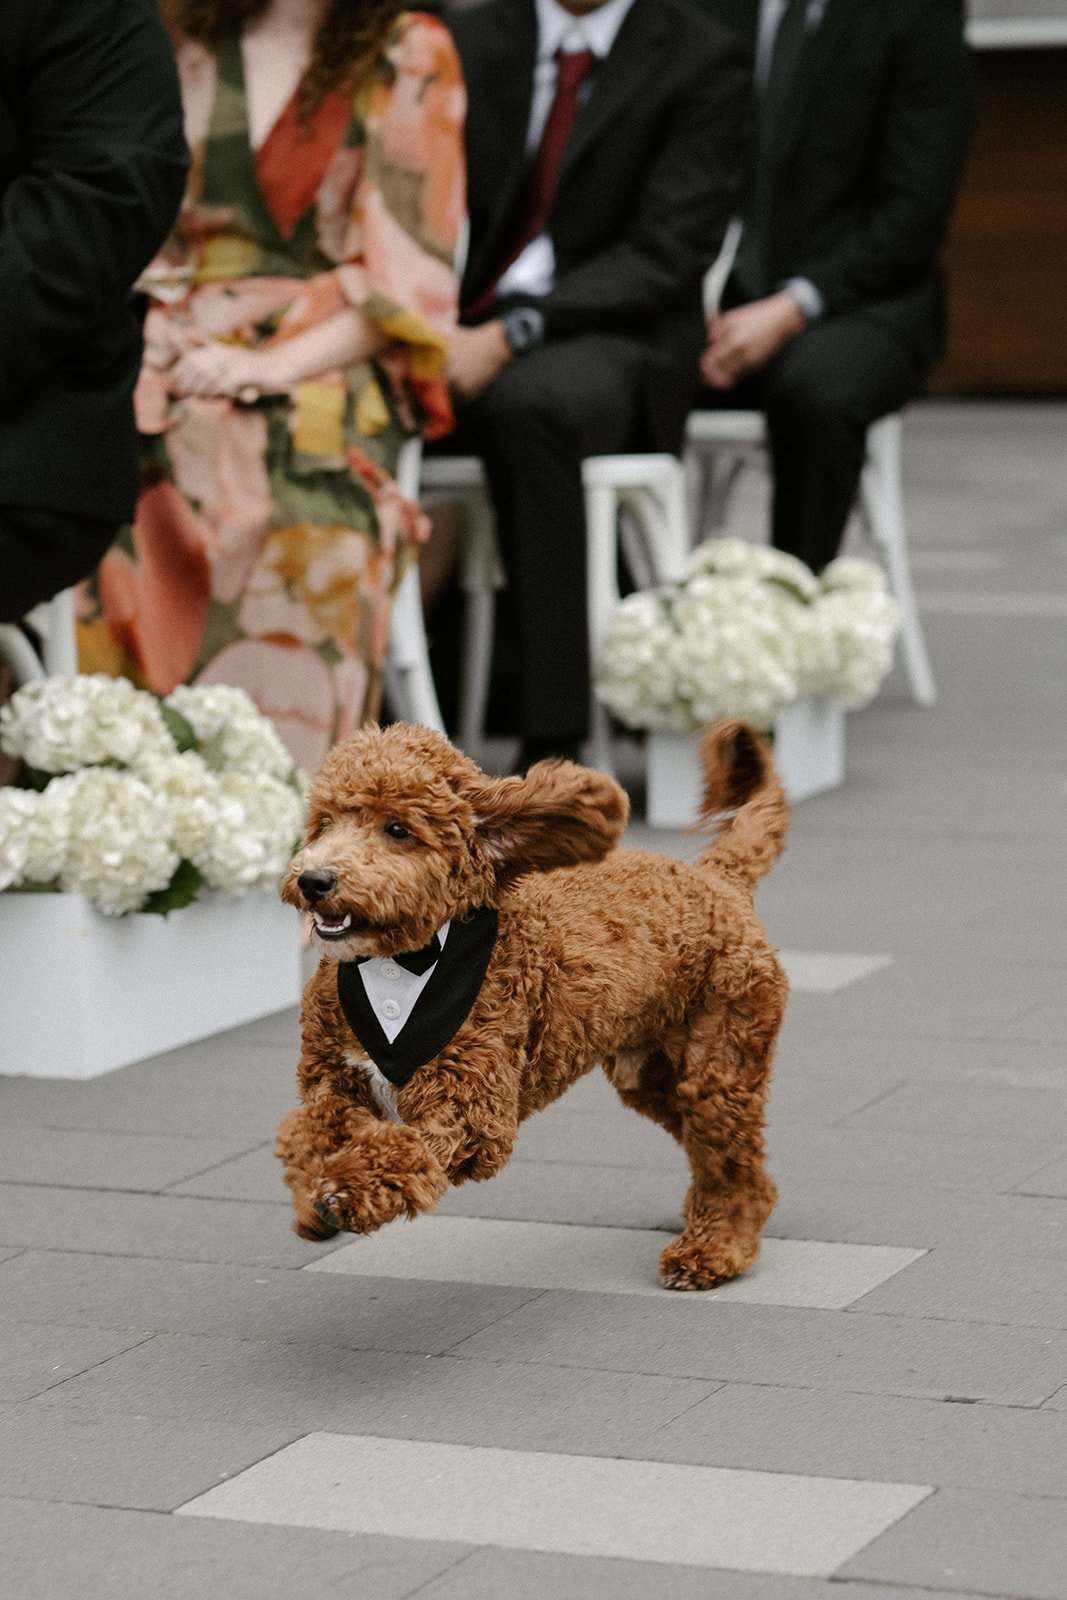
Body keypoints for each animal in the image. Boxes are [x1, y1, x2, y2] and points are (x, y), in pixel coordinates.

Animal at [279, 723, 790, 1286]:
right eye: (324, 823)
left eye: (397, 829)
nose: (314, 880)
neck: (401, 961)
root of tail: (720, 878)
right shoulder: (334, 1076)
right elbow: (314, 1126)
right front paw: (313, 1188)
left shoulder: (473, 1106)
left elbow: (405, 1150)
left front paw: (345, 1191)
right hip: (654, 1077)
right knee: (724, 1159)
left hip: (719, 1064)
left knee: (733, 1167)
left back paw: (715, 1248)